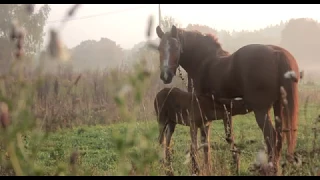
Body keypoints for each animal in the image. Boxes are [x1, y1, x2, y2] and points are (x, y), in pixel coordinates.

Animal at [152, 25, 300, 174]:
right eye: (159, 48)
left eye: (176, 47)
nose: (165, 76)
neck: (203, 62)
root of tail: (277, 53)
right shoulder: (224, 111)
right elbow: (227, 137)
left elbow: (204, 140)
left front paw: (203, 168)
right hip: (278, 106)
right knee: (280, 138)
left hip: (261, 111)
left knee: (271, 137)